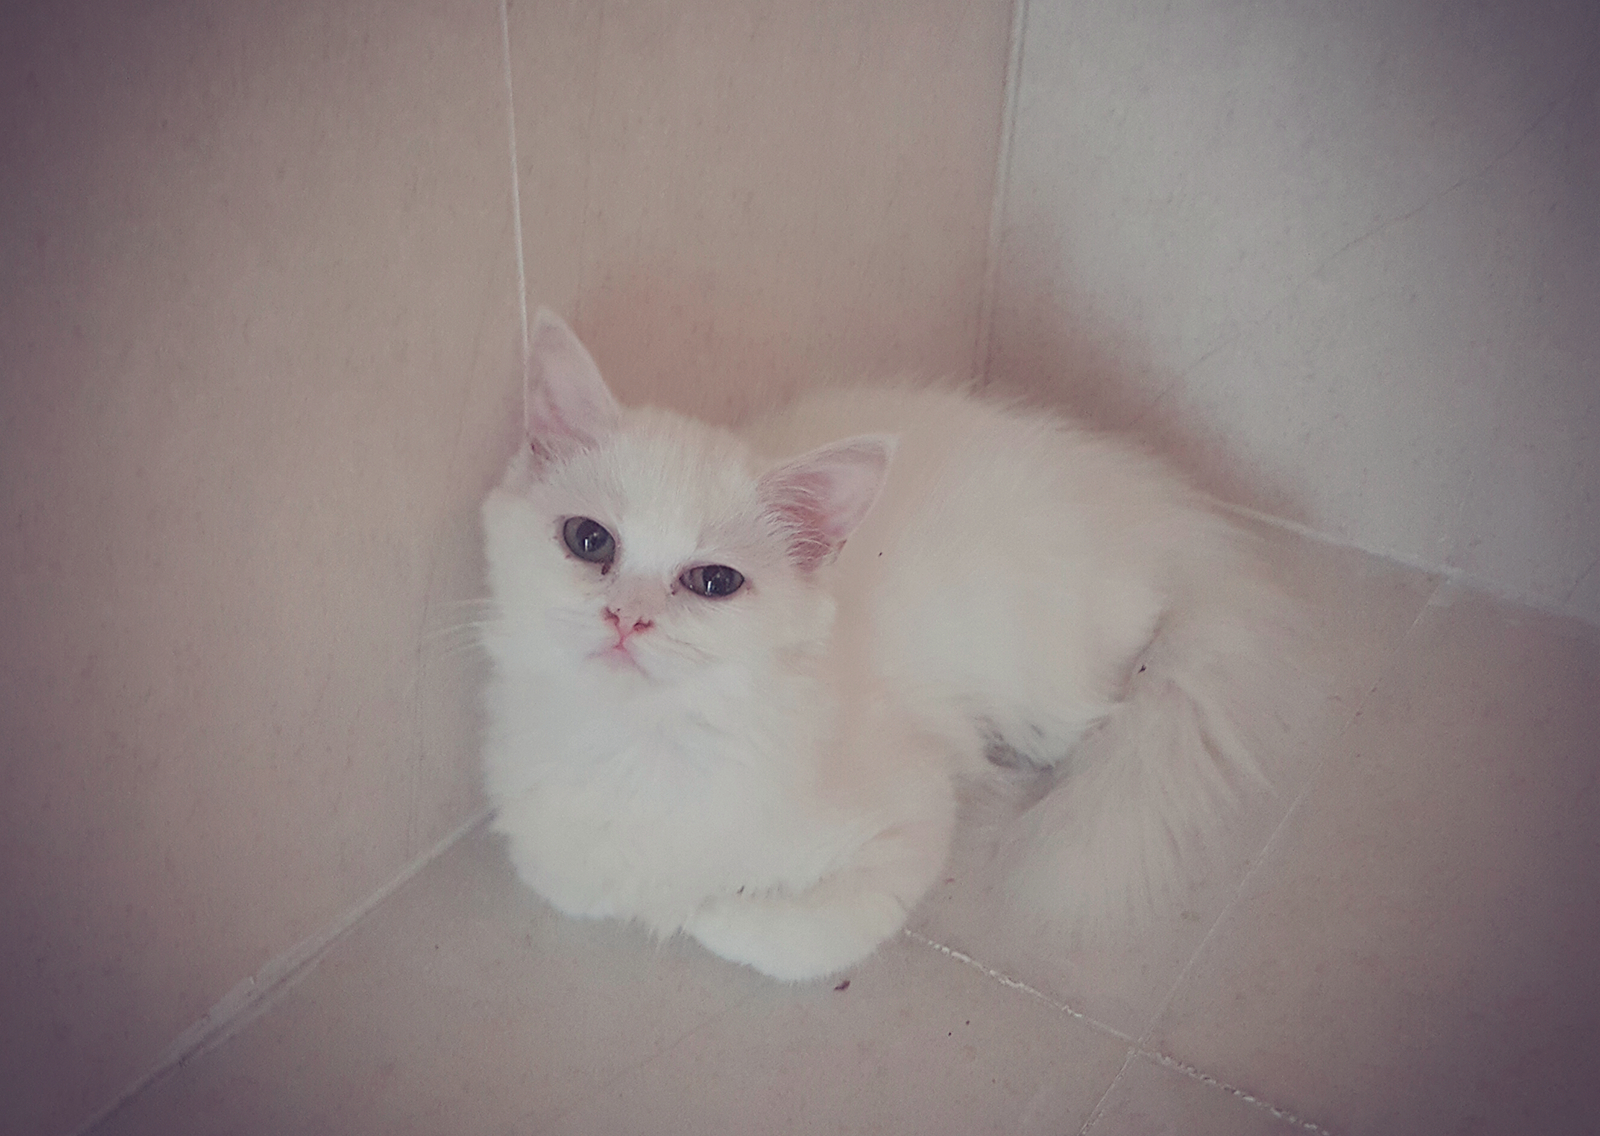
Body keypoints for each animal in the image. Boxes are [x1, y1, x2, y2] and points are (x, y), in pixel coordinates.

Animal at [479, 308, 1293, 982]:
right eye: (589, 541)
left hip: (1056, 675)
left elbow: (784, 934)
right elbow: (585, 884)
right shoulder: (545, 848)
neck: (642, 739)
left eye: (713, 582)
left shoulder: (909, 822)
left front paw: (708, 909)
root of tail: (1153, 506)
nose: (628, 619)